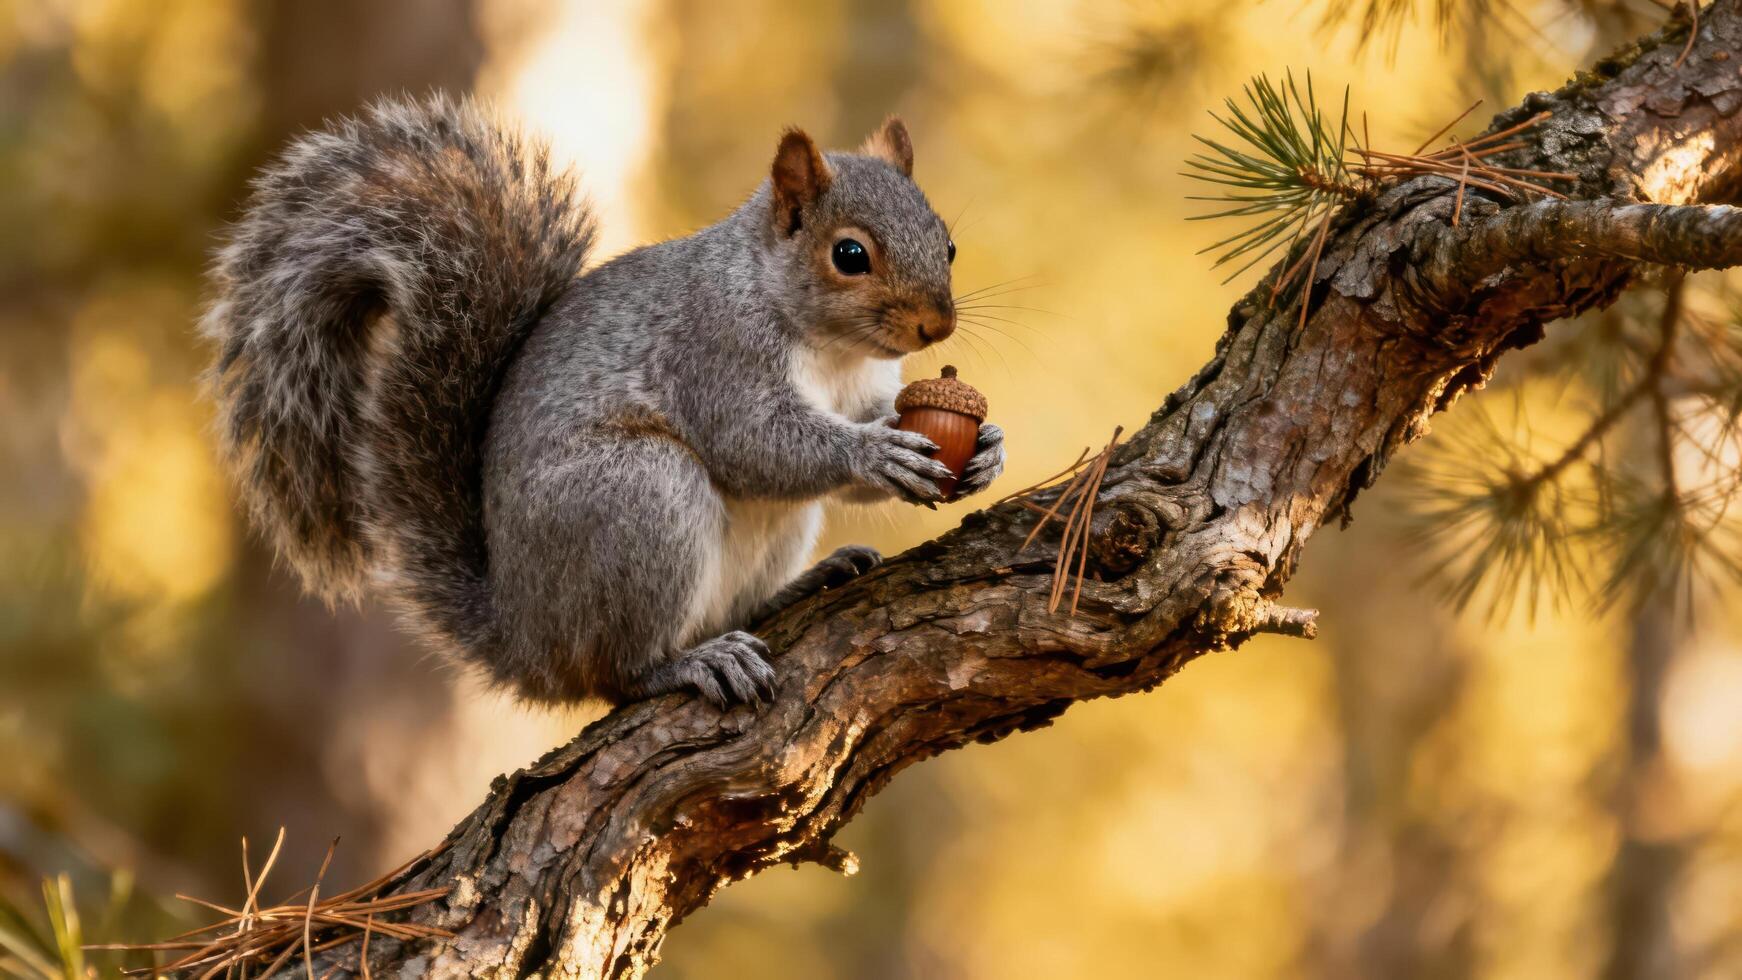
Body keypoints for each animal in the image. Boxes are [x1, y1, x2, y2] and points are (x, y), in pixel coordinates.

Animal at [202, 95, 1004, 707]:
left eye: (948, 244)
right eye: (849, 255)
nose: (938, 326)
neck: (831, 348)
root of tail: (528, 640)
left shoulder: (866, 387)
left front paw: (985, 453)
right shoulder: (714, 352)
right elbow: (756, 442)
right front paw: (875, 454)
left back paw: (798, 587)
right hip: (640, 497)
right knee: (618, 673)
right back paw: (690, 662)